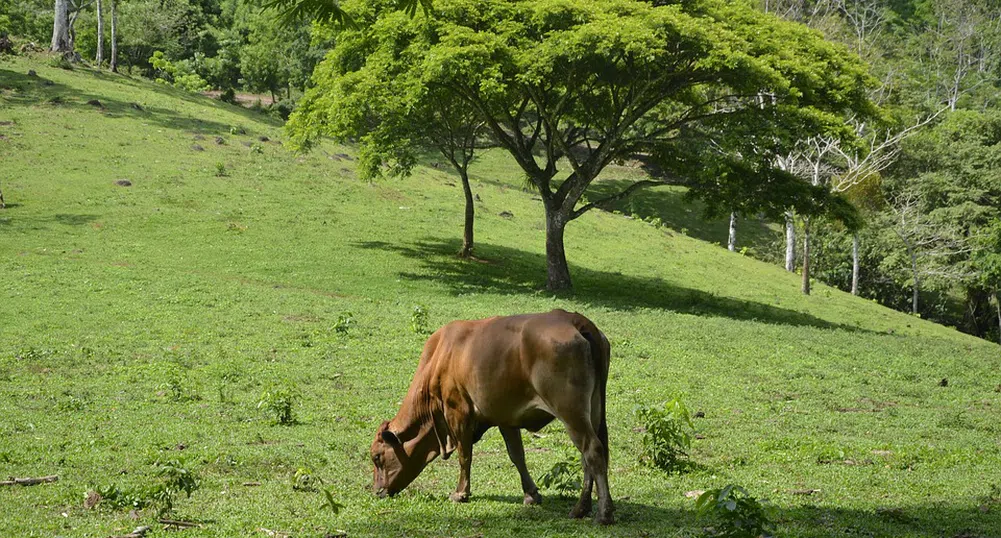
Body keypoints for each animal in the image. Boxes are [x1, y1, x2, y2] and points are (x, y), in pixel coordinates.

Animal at [372, 308, 612, 520]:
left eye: (376, 457)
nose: (376, 491)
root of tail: (575, 320)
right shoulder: (505, 417)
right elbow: (517, 455)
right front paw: (531, 494)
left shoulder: (457, 412)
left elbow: (464, 455)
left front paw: (460, 493)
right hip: (593, 409)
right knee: (587, 457)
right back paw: (581, 508)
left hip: (570, 411)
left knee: (592, 450)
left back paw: (602, 513)